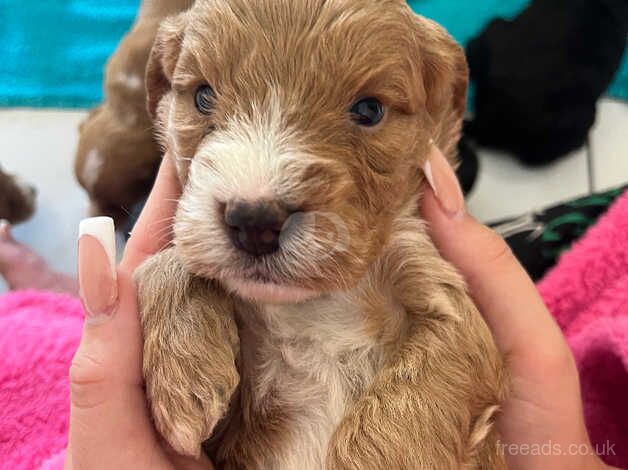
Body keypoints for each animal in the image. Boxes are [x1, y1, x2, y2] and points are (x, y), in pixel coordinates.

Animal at [137, 1, 510, 468]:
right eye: (203, 96)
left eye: (369, 110)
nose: (254, 221)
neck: (311, 303)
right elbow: (166, 257)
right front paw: (183, 373)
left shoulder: (443, 300)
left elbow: (404, 412)